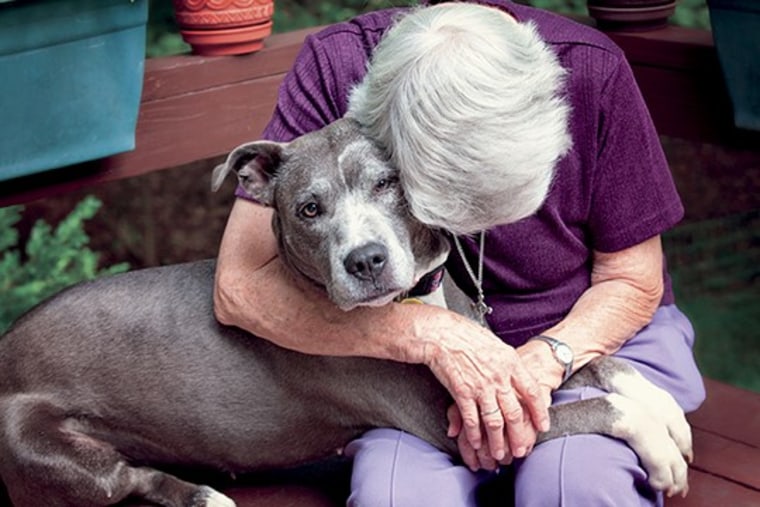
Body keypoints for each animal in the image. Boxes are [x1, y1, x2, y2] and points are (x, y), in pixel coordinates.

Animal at [0, 119, 688, 507]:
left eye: (387, 184)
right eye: (308, 208)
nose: (365, 260)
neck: (418, 301)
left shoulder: (495, 360)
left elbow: (593, 367)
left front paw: (664, 408)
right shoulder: (462, 432)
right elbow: (596, 410)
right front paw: (657, 442)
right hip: (62, 460)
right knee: (131, 480)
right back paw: (202, 497)